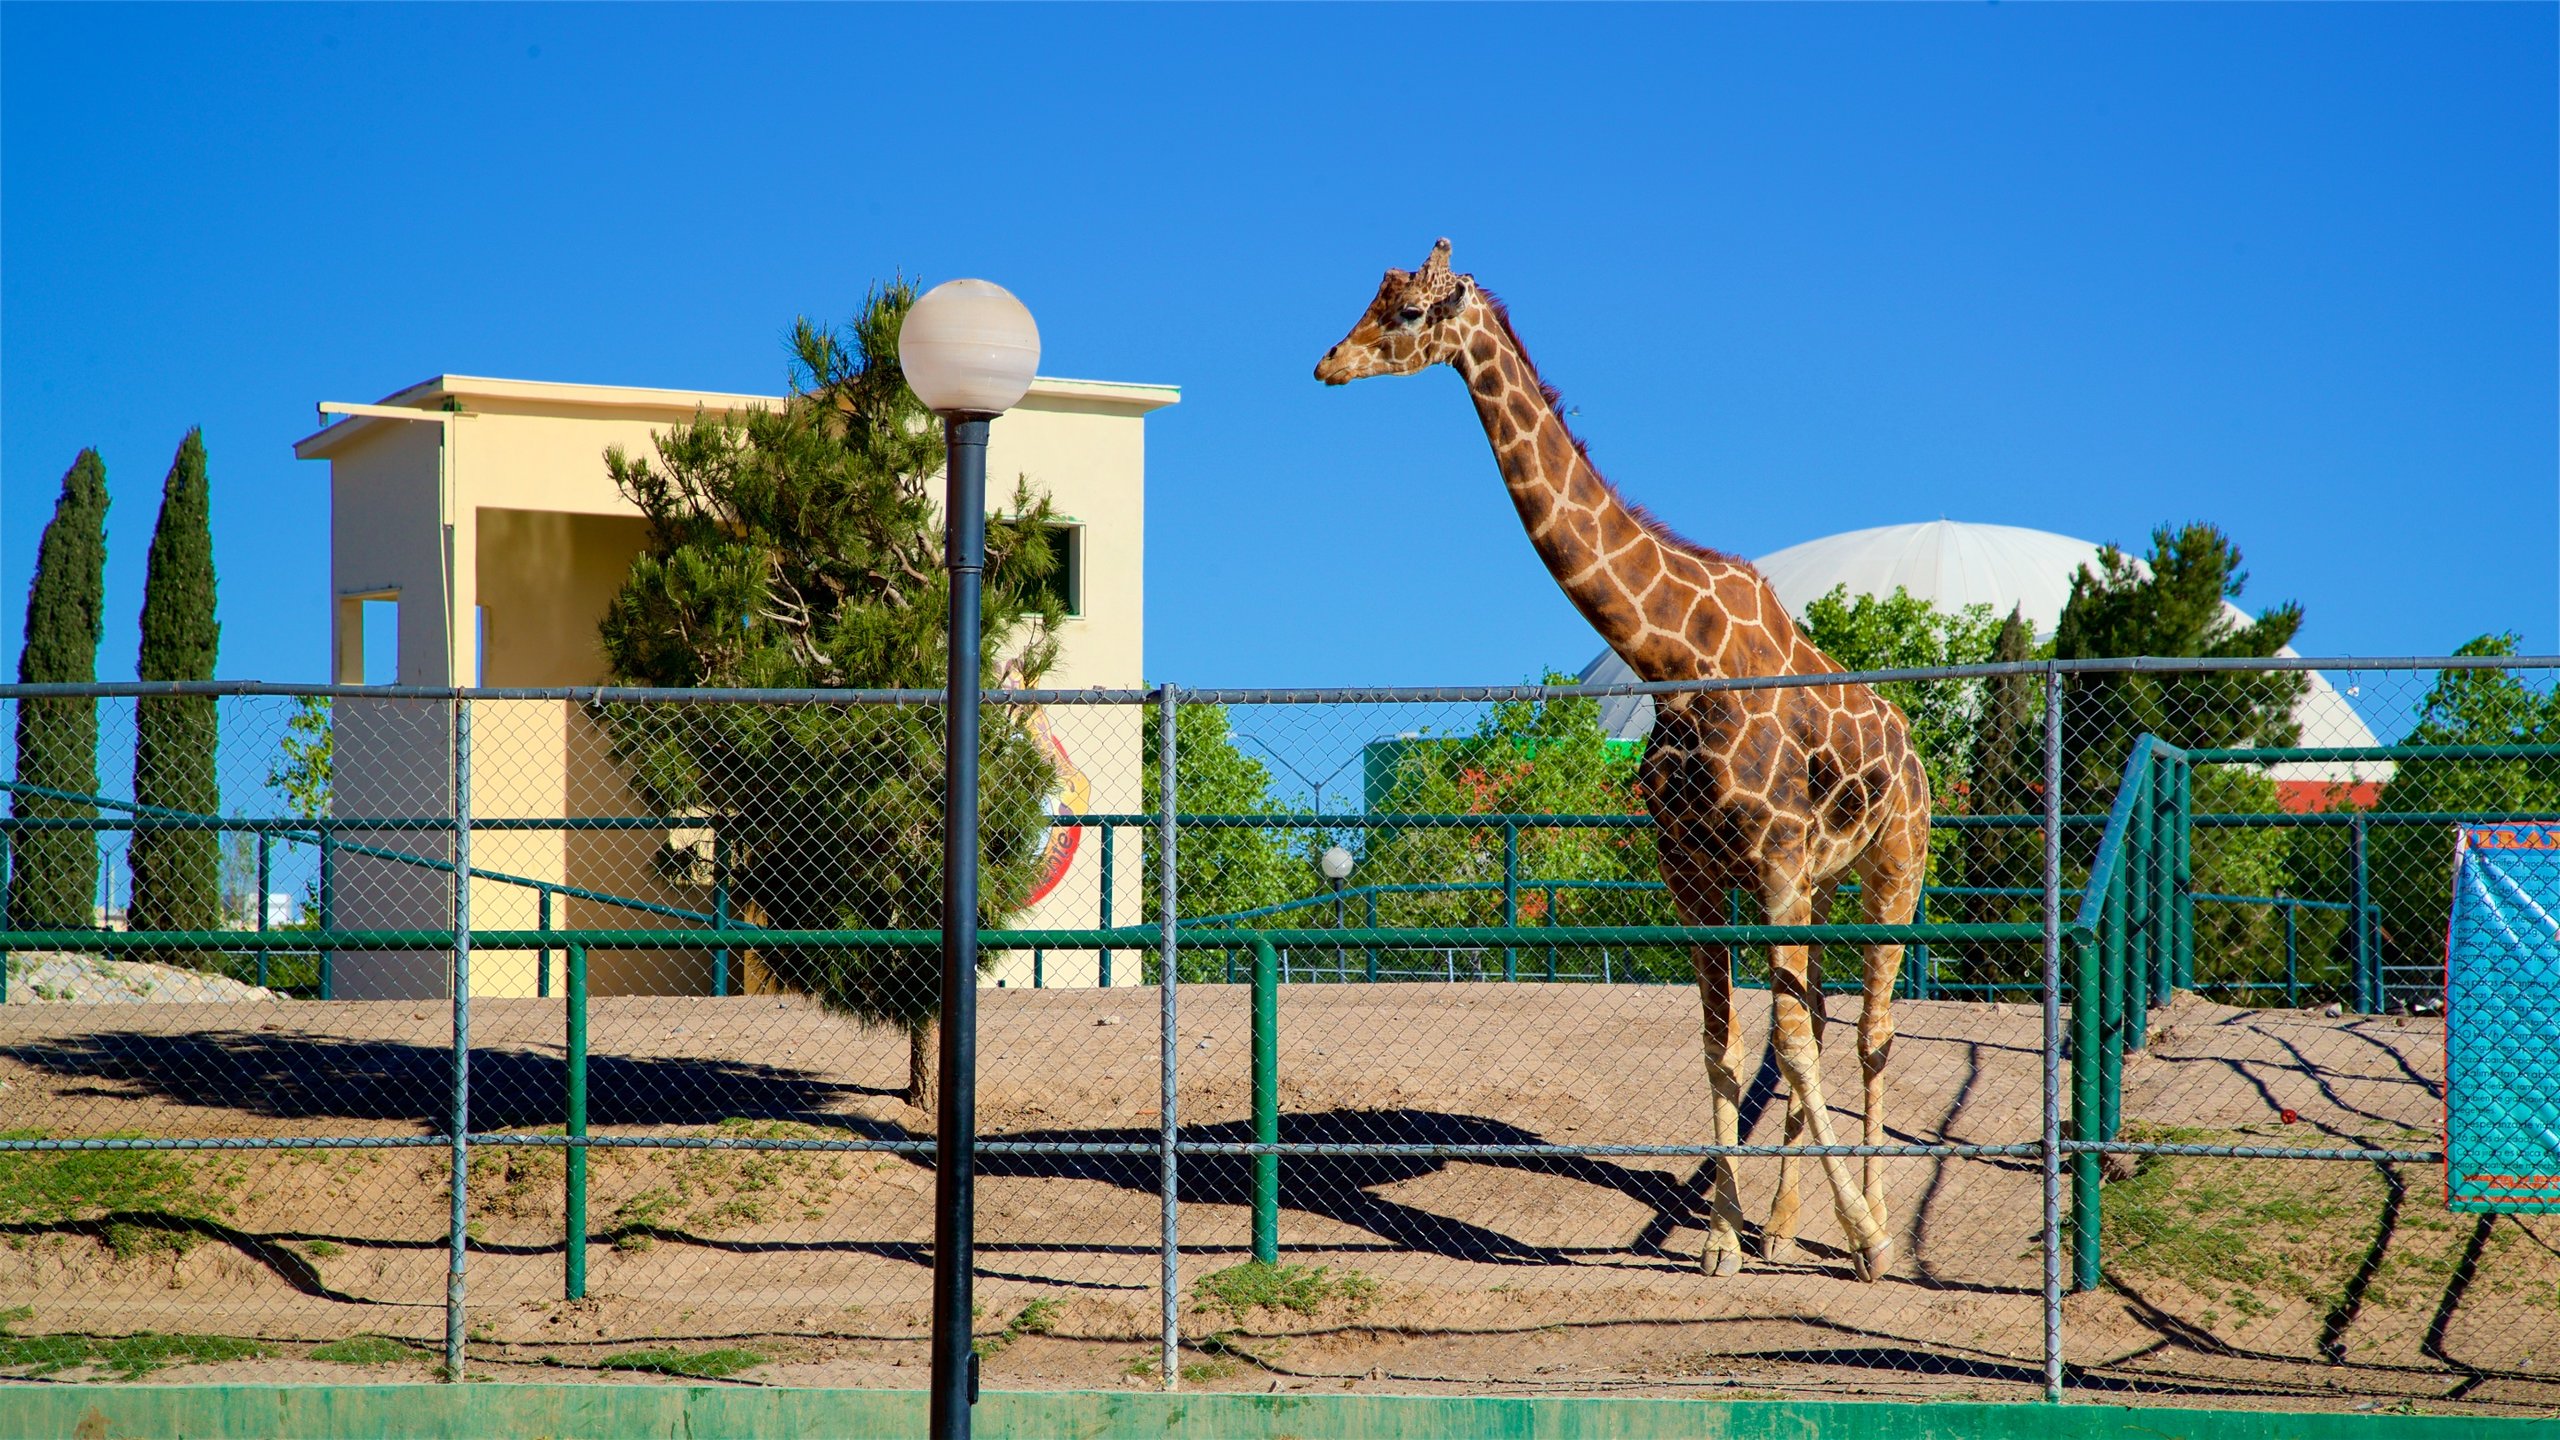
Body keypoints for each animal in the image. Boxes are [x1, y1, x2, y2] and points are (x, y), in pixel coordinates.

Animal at [1314, 240, 1932, 1283]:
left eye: (1407, 314)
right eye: (1374, 300)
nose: (1328, 364)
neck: (1671, 658)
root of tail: (1913, 747)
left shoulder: (1775, 863)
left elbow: (1798, 1049)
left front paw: (1866, 1237)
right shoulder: (1695, 873)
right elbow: (1728, 1047)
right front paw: (1723, 1241)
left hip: (1895, 864)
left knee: (1871, 1034)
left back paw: (1870, 1223)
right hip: (1823, 879)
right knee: (1807, 1018)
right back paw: (1780, 1224)